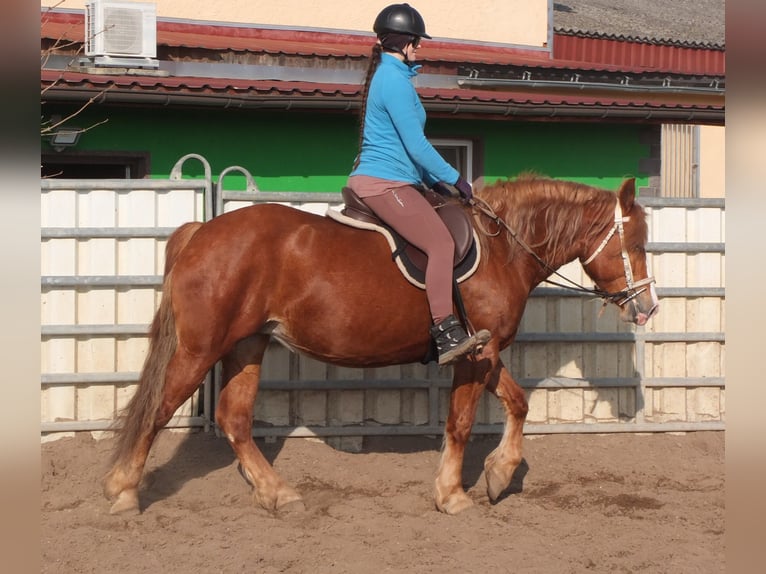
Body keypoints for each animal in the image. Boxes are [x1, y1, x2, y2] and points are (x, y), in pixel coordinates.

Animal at [103, 176, 660, 516]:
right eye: (634, 243)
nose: (648, 307)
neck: (502, 245)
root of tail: (202, 232)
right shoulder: (474, 354)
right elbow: (460, 423)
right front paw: (453, 494)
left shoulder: (486, 351)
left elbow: (518, 403)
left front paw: (498, 476)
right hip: (201, 350)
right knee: (158, 410)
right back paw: (124, 491)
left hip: (247, 345)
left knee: (234, 418)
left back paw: (276, 492)